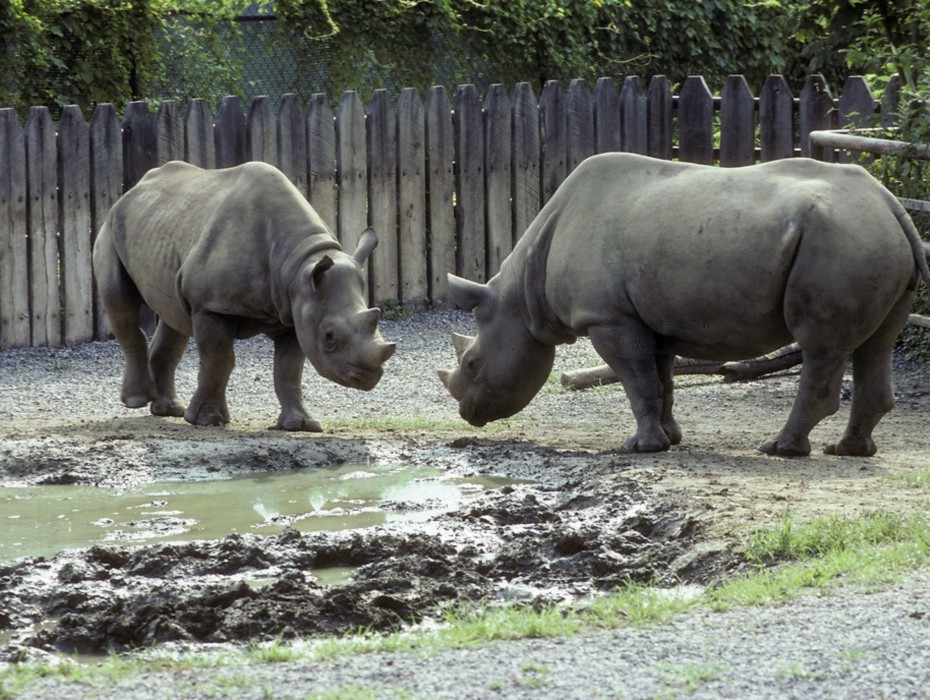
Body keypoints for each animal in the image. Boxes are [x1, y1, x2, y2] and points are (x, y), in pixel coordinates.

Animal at [94, 161, 396, 430]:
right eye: (329, 337)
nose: (369, 377)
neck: (298, 267)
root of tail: (134, 189)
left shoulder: (296, 312)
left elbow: (289, 369)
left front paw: (300, 425)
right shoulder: (212, 306)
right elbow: (219, 360)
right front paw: (207, 420)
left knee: (173, 315)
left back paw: (168, 410)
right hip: (111, 226)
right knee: (120, 303)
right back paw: (137, 401)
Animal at [438, 152, 928, 456]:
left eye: (473, 366)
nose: (468, 415)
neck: (521, 298)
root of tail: (892, 205)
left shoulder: (607, 318)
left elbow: (636, 380)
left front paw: (640, 449)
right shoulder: (651, 319)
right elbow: (661, 379)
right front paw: (669, 440)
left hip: (840, 243)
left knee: (820, 347)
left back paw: (782, 450)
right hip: (867, 241)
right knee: (877, 344)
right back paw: (847, 450)